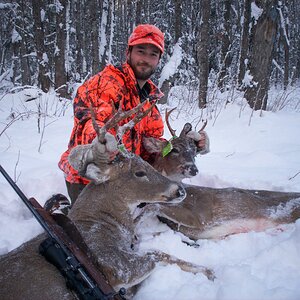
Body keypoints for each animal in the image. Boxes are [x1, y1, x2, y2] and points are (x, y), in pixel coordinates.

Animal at [0, 102, 213, 300]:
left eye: (147, 162)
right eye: (139, 172)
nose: (180, 190)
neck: (102, 224)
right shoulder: (116, 266)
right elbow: (157, 254)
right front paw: (208, 271)